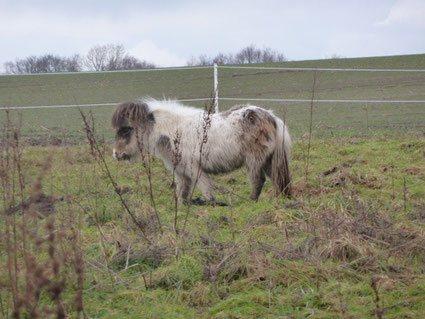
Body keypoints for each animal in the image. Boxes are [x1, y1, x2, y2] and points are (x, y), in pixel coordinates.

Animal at [112, 99, 292, 206]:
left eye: (126, 129)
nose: (116, 154)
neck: (173, 132)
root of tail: (272, 118)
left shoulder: (195, 168)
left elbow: (205, 189)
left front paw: (212, 204)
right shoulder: (181, 172)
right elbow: (182, 192)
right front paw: (181, 206)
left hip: (254, 161)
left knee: (258, 180)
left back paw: (251, 201)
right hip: (269, 160)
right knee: (278, 179)